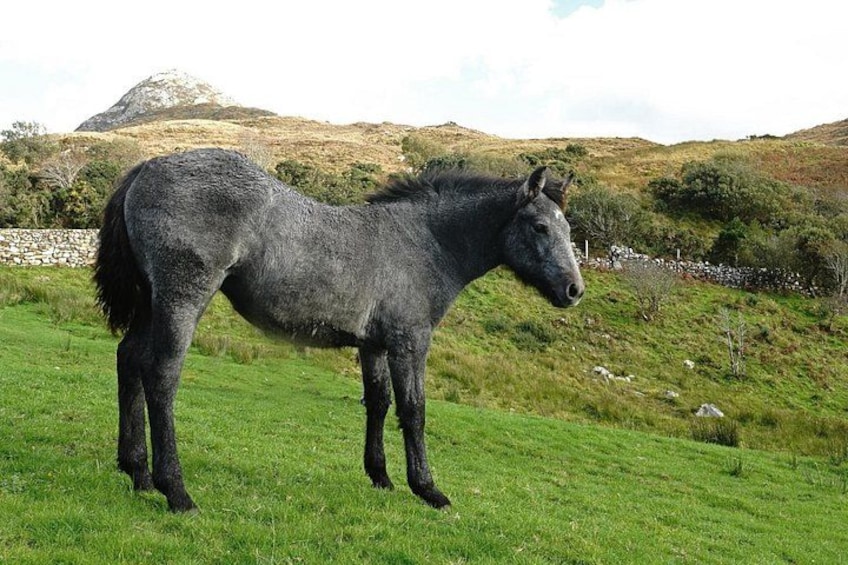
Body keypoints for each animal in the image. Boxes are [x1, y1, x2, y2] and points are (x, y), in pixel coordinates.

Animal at [94, 148, 584, 512]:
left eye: (569, 229)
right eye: (540, 226)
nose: (574, 289)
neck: (425, 241)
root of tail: (147, 167)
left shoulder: (373, 345)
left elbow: (378, 404)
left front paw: (380, 476)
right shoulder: (410, 342)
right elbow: (414, 411)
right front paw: (428, 489)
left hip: (151, 302)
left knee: (129, 359)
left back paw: (136, 472)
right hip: (182, 299)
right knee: (161, 376)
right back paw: (175, 491)